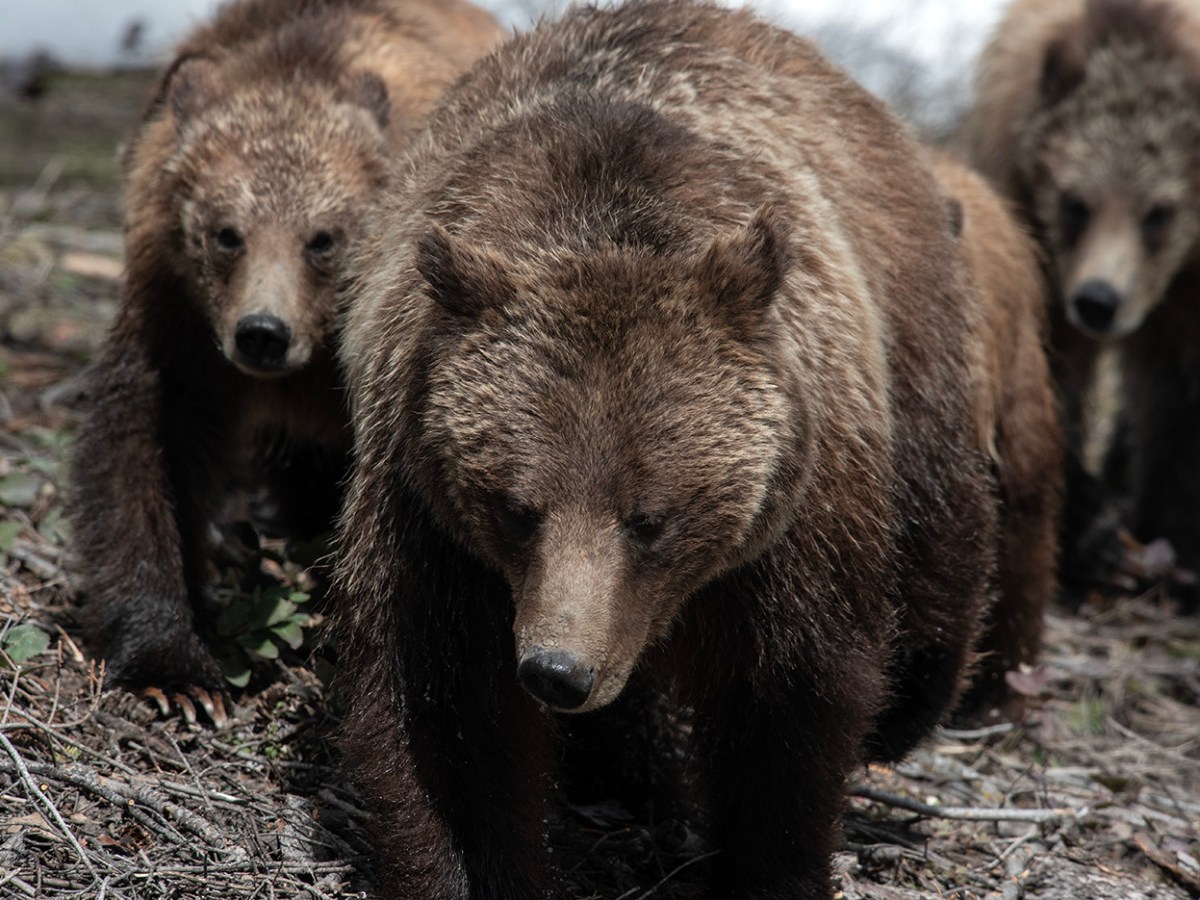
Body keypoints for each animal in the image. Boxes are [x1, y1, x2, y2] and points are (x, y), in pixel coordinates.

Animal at [68, 0, 504, 725]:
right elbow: (146, 452)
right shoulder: (180, 321)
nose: (263, 333)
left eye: (321, 238)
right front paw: (176, 674)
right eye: (226, 232)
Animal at [330, 2, 1062, 896]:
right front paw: (471, 865)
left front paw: (766, 862)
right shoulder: (427, 505)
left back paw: (912, 701)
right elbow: (448, 708)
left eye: (650, 517)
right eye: (516, 508)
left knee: (941, 526)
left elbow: (782, 700)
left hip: (915, 337)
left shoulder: (796, 509)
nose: (557, 670)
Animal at [962, 0, 1200, 592]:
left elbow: (1179, 401)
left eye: (1159, 212)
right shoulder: (1038, 249)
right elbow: (1052, 384)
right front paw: (1095, 541)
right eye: (1075, 203)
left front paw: (1175, 539)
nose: (1099, 300)